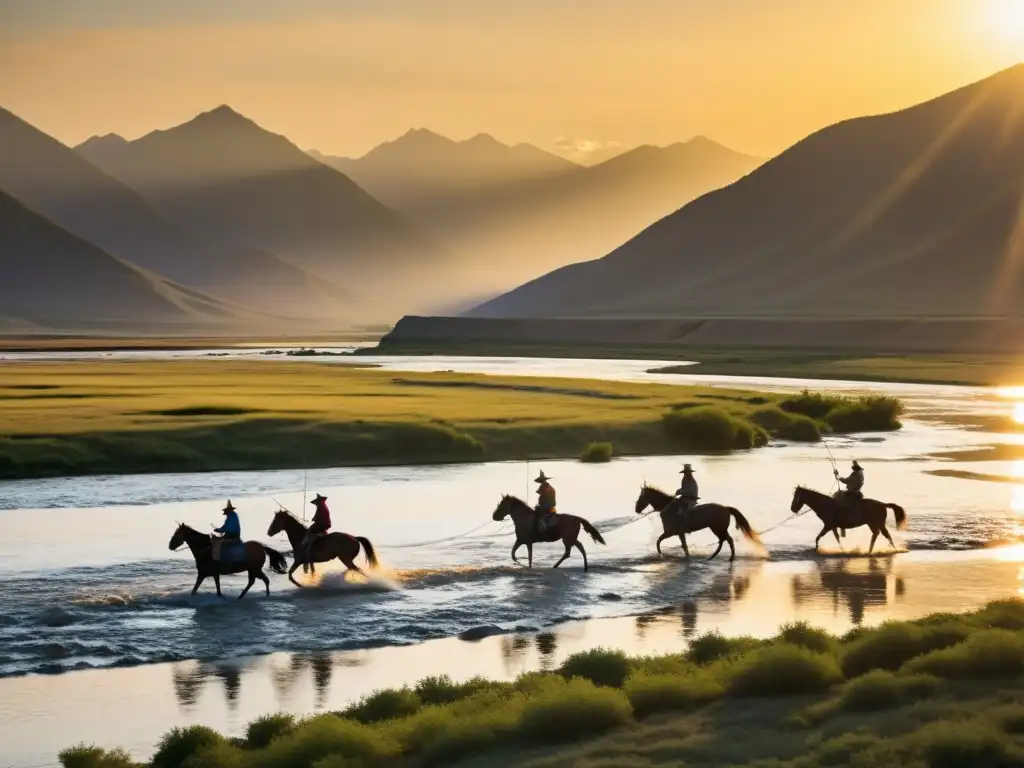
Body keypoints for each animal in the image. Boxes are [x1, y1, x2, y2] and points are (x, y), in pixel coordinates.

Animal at [630, 483, 761, 561]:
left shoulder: (671, 532)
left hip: (718, 528)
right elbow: (682, 545)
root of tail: (726, 508)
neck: (668, 507)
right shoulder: (678, 533)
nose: (636, 509)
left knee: (728, 540)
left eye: (641, 497)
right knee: (722, 540)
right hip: (716, 529)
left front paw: (662, 554)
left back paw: (730, 558)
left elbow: (660, 542)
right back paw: (712, 556)